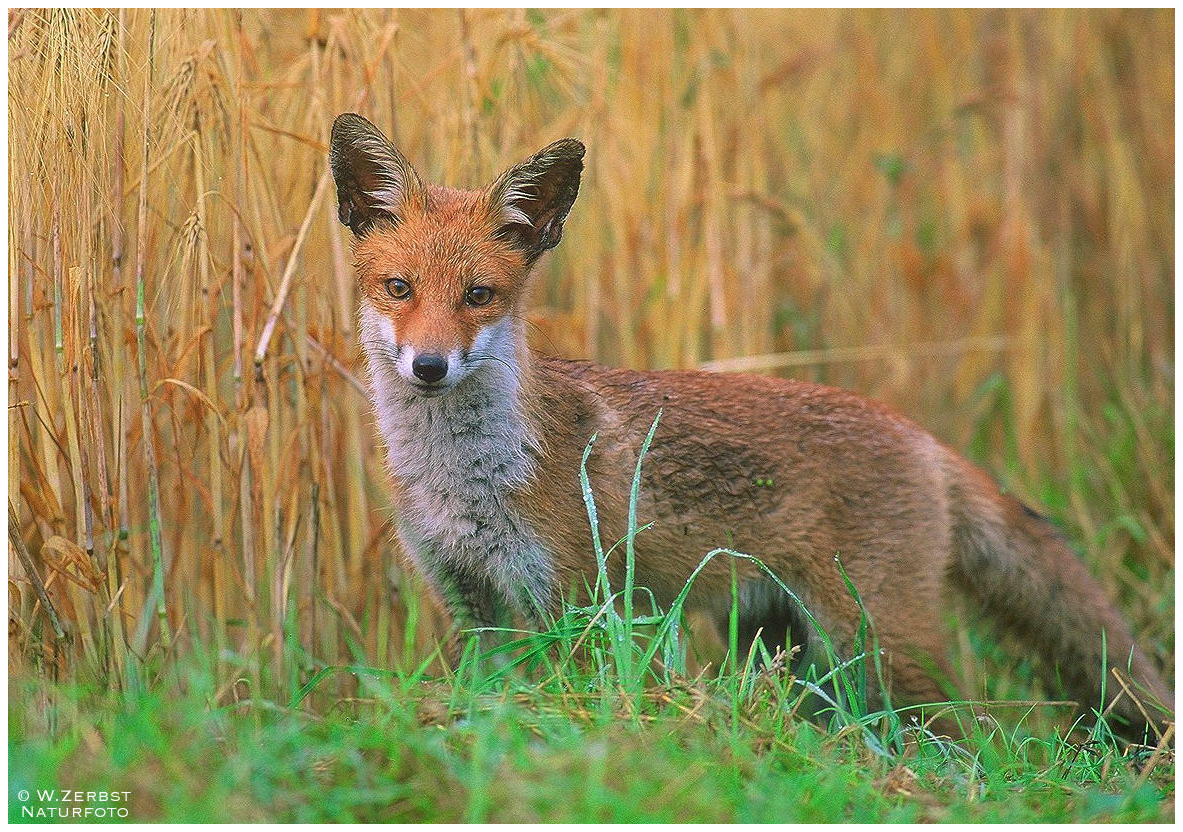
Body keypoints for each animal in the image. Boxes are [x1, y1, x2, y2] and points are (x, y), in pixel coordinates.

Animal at [328, 112, 1168, 743]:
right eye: (399, 288)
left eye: (478, 295)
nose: (429, 365)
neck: (465, 482)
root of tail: (916, 433)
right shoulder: (473, 604)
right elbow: (493, 706)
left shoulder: (572, 604)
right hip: (784, 641)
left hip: (877, 646)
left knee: (969, 732)